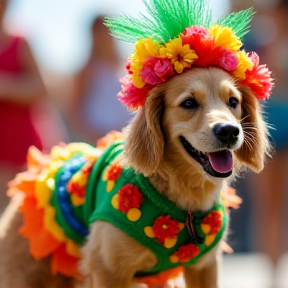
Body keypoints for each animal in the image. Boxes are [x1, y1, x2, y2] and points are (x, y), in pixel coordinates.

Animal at [0, 66, 270, 288]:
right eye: (189, 103)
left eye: (233, 101)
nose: (229, 131)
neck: (184, 200)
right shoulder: (107, 268)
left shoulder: (205, 267)